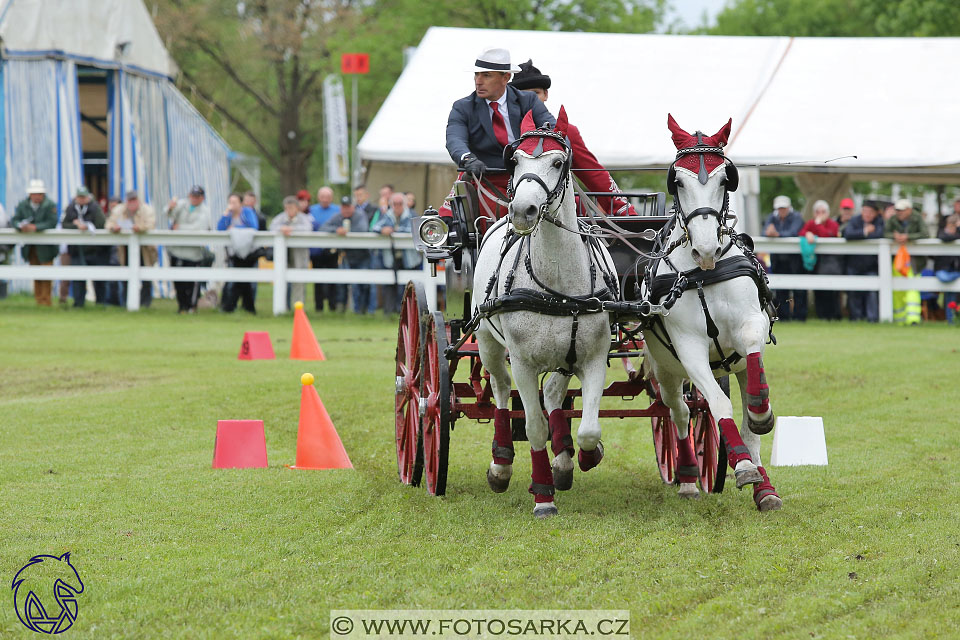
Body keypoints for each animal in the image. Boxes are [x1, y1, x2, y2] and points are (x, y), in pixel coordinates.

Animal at [470, 107, 620, 520]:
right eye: (516, 160)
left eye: (557, 162)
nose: (522, 211)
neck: (557, 285)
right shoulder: (522, 362)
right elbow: (534, 426)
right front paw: (542, 495)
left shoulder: (593, 357)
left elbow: (588, 428)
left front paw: (583, 456)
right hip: (488, 342)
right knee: (500, 389)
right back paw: (501, 463)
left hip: (562, 356)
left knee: (553, 395)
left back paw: (565, 458)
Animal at [636, 115, 780, 512]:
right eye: (678, 181)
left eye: (724, 178)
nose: (704, 249)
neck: (704, 274)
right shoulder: (689, 349)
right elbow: (717, 405)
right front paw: (741, 466)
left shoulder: (752, 325)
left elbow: (752, 357)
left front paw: (761, 415)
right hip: (667, 371)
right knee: (681, 413)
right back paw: (688, 476)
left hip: (735, 365)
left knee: (746, 415)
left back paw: (765, 486)